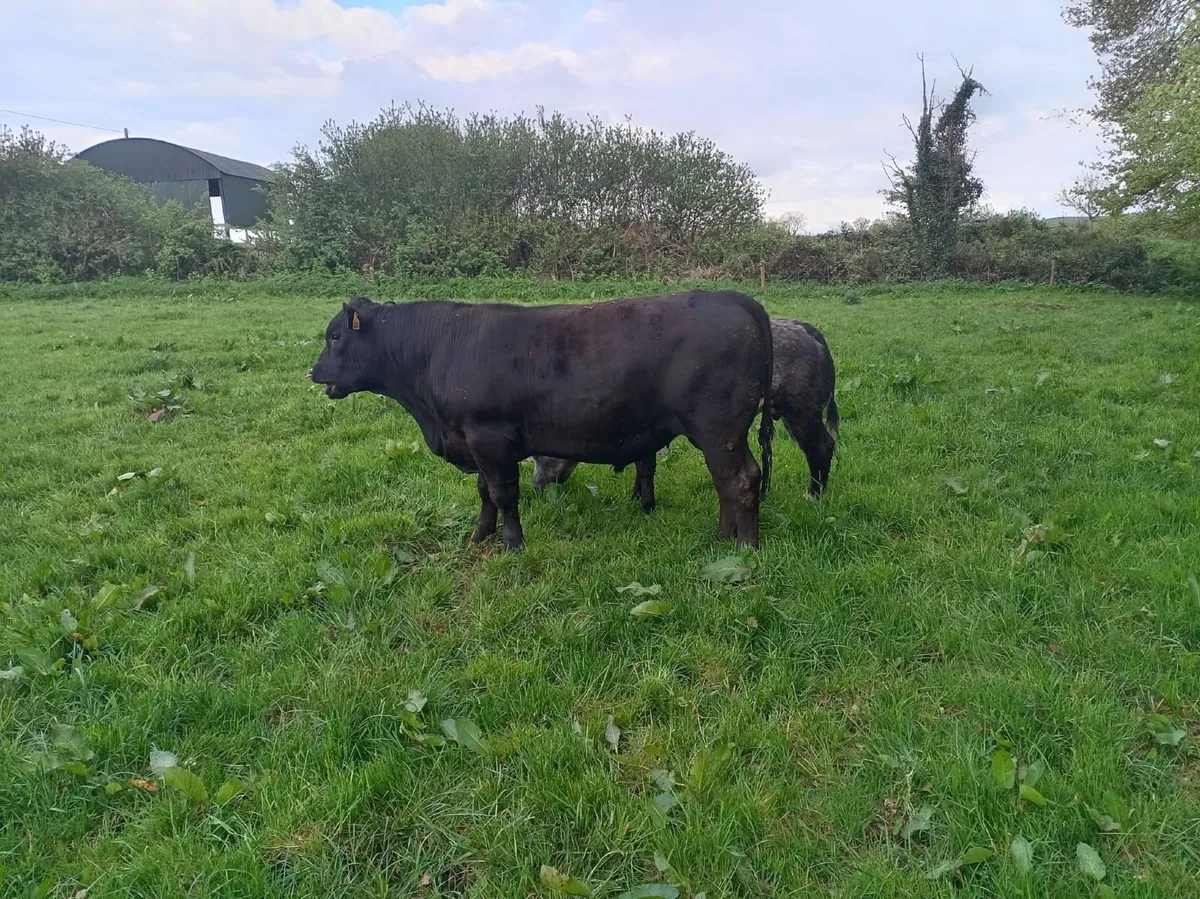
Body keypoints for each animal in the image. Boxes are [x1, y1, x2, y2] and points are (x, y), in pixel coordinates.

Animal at [307, 290, 775, 551]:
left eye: (335, 336)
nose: (313, 372)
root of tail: (731, 296)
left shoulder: (489, 438)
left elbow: (503, 494)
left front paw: (513, 544)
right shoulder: (475, 443)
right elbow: (484, 493)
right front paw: (479, 536)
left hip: (719, 429)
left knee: (740, 481)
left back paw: (745, 547)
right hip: (718, 434)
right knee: (728, 483)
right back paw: (723, 537)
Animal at [533, 317, 838, 502]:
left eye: (540, 455)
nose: (536, 487)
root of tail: (807, 329)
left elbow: (645, 465)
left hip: (801, 410)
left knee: (822, 447)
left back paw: (814, 495)